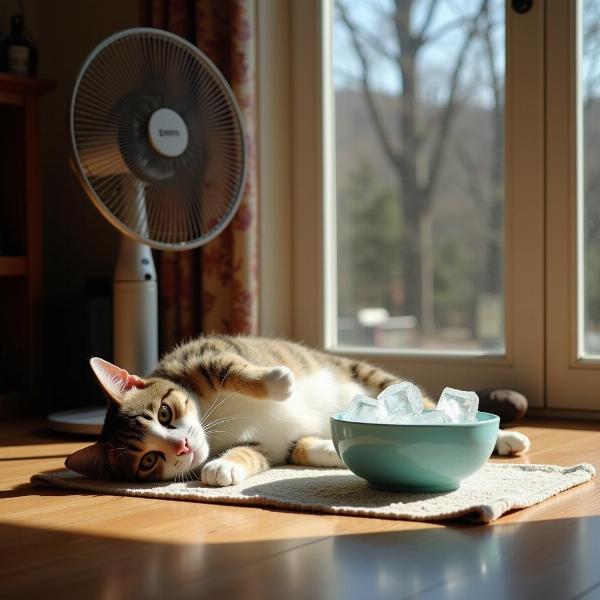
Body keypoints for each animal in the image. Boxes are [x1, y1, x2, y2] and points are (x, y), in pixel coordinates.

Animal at [64, 336, 528, 486]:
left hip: (368, 374)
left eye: (163, 413)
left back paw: (506, 437)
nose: (181, 448)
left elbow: (230, 368)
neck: (215, 428)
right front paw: (222, 467)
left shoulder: (199, 356)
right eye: (147, 461)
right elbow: (283, 450)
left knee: (429, 402)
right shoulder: (272, 448)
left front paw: (278, 383)